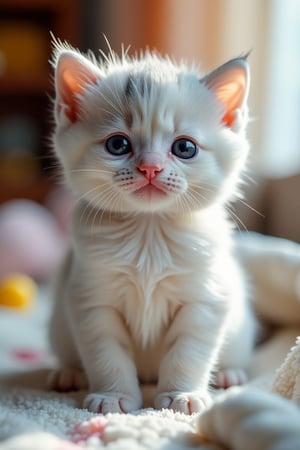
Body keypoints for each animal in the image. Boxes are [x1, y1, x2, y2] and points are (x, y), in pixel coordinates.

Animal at [48, 42, 255, 414]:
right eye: (118, 145)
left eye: (184, 147)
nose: (151, 168)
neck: (149, 232)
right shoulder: (90, 299)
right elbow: (107, 353)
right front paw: (113, 396)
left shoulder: (205, 299)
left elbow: (188, 352)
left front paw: (181, 395)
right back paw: (68, 374)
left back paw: (229, 374)